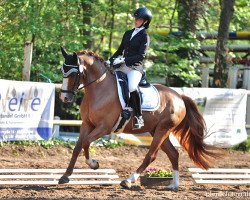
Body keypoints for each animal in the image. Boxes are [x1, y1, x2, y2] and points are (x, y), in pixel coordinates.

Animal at [57, 47, 218, 190]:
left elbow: (86, 142)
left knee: (151, 155)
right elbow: (78, 147)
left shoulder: (104, 127)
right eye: (63, 71)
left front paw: (94, 164)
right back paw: (174, 185)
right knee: (173, 154)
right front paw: (65, 176)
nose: (64, 98)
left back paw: (128, 180)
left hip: (163, 129)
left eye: (74, 73)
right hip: (157, 130)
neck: (99, 89)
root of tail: (179, 97)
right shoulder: (87, 124)